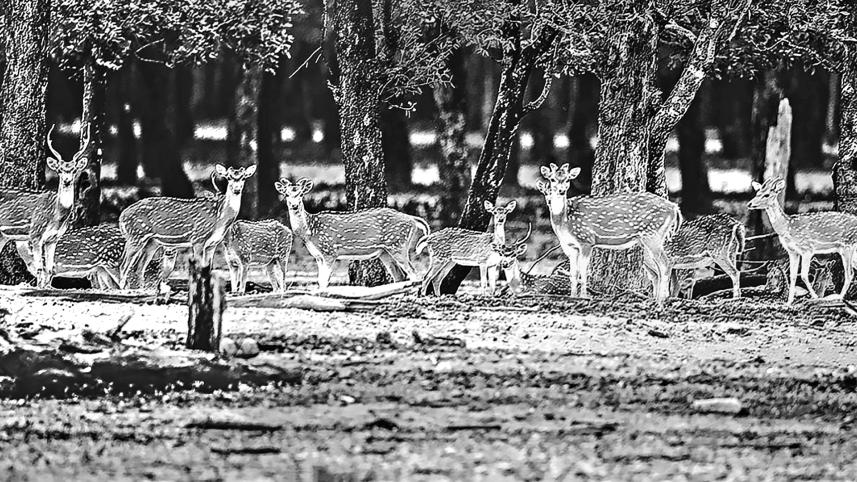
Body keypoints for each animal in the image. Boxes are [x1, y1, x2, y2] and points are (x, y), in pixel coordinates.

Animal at [0, 126, 90, 288]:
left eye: (74, 169)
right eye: (59, 170)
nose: (67, 181)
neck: (57, 216)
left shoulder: (53, 239)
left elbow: (49, 268)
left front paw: (47, 286)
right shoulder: (36, 233)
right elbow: (40, 268)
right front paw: (39, 288)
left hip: (3, 235)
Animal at [118, 164, 256, 289]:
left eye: (244, 177)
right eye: (228, 177)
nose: (237, 190)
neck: (219, 218)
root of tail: (121, 217)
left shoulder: (213, 244)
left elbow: (209, 269)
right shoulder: (198, 238)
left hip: (152, 242)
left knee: (139, 267)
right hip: (136, 235)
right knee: (124, 265)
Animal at [274, 177, 429, 289]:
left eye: (300, 194)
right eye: (286, 194)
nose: (294, 205)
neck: (309, 232)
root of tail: (412, 219)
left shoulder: (329, 251)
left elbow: (324, 281)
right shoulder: (318, 256)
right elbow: (319, 280)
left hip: (398, 244)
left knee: (414, 273)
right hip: (385, 251)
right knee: (400, 275)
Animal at [536, 163, 682, 302]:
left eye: (567, 179)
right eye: (552, 179)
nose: (561, 191)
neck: (564, 221)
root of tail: (674, 207)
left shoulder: (586, 240)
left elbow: (583, 270)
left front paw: (584, 296)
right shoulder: (570, 246)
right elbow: (573, 272)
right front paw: (573, 296)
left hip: (653, 234)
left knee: (666, 264)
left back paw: (662, 298)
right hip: (649, 239)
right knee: (658, 269)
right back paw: (658, 298)